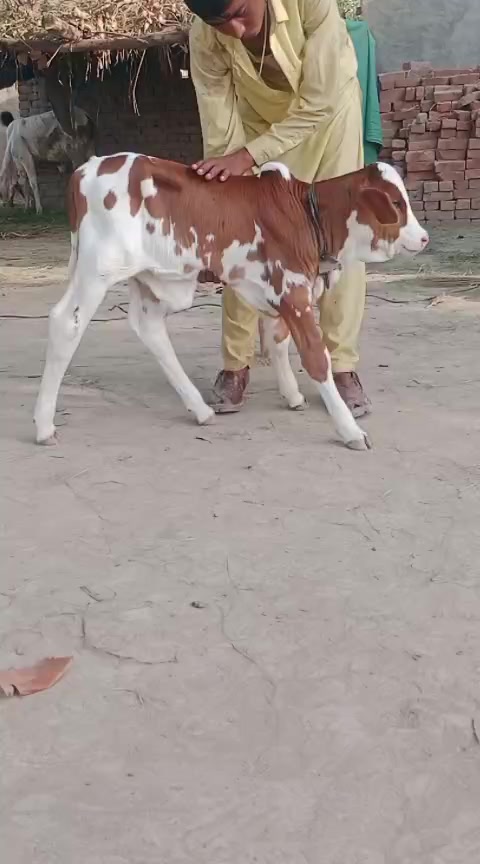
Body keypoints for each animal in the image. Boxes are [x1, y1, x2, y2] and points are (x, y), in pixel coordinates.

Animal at [34, 155, 428, 451]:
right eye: (396, 203)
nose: (424, 237)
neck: (306, 213)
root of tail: (87, 168)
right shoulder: (293, 290)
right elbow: (317, 359)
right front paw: (349, 430)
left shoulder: (284, 291)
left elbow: (278, 341)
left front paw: (292, 395)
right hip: (97, 270)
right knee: (65, 322)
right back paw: (43, 425)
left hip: (147, 277)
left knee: (149, 327)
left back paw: (199, 409)